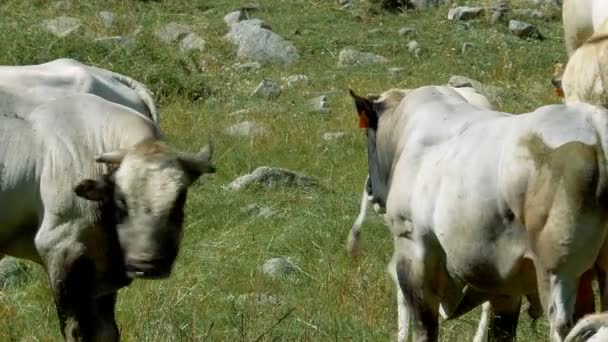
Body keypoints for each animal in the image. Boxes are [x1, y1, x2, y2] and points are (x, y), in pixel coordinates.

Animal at [350, 85, 608, 342]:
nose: (370, 188)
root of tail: (595, 127)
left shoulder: (413, 253)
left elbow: (424, 327)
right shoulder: (506, 284)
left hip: (557, 274)